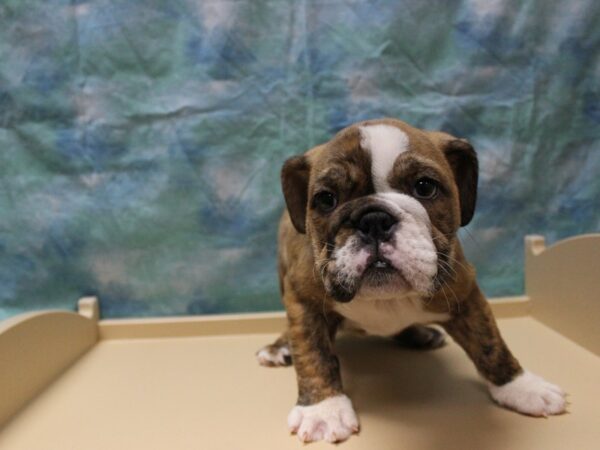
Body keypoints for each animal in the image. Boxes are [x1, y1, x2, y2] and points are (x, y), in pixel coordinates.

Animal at [256, 118, 568, 442]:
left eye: (425, 187)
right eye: (326, 199)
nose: (373, 219)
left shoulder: (466, 292)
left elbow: (490, 343)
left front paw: (521, 386)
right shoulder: (303, 299)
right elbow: (313, 352)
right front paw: (323, 409)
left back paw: (420, 333)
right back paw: (279, 347)